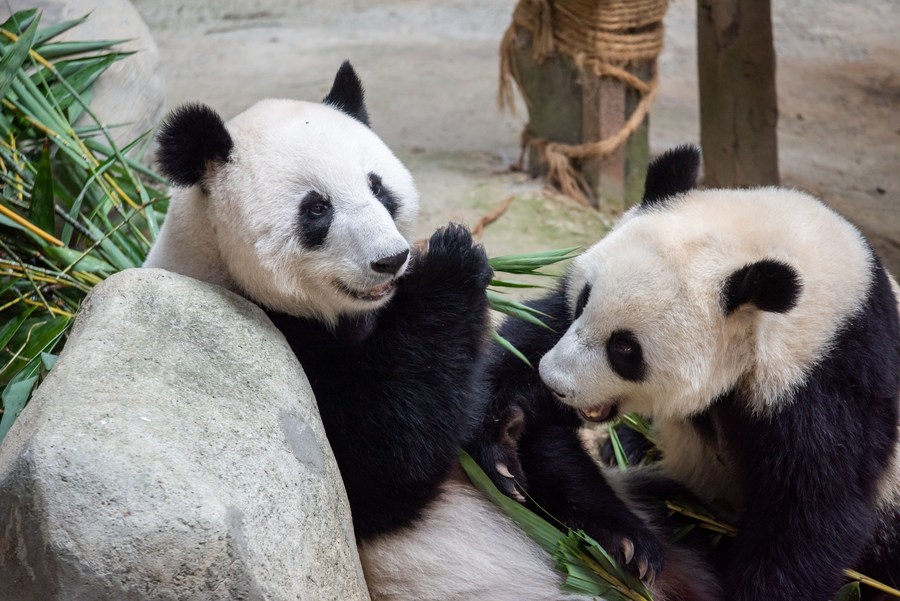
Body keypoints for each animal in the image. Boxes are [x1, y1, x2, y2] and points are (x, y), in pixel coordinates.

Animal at [143, 62, 720, 601]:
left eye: (378, 187)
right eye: (317, 209)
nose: (391, 259)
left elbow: (527, 436)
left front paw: (623, 542)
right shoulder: (277, 349)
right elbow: (381, 463)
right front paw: (451, 259)